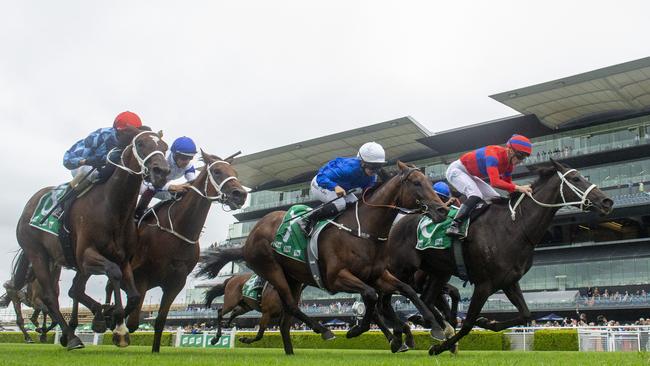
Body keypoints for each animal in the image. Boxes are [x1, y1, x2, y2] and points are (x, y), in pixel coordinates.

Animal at [14, 127, 170, 350]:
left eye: (164, 147)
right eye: (141, 144)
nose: (162, 172)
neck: (114, 207)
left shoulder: (123, 259)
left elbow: (134, 296)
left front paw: (112, 319)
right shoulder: (86, 255)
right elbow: (113, 273)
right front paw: (117, 326)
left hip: (61, 262)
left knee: (74, 291)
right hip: (37, 254)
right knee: (50, 297)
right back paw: (72, 337)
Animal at [105, 151, 247, 352]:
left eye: (235, 172)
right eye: (217, 171)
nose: (240, 194)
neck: (178, 229)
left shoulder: (176, 282)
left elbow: (159, 320)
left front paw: (155, 350)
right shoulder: (142, 275)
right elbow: (133, 321)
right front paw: (115, 324)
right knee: (109, 287)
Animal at [197, 161, 450, 354]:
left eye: (429, 181)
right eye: (416, 183)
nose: (442, 210)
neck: (363, 230)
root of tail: (249, 237)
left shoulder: (377, 274)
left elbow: (406, 291)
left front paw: (435, 327)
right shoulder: (337, 277)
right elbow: (370, 296)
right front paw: (358, 330)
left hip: (294, 278)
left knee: (287, 315)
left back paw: (292, 350)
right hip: (271, 268)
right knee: (289, 306)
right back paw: (325, 331)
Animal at [380, 160, 612, 354]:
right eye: (576, 179)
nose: (607, 201)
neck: (515, 228)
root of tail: (397, 223)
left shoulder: (509, 281)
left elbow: (525, 315)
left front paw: (485, 323)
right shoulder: (484, 284)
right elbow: (468, 323)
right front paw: (440, 347)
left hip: (438, 273)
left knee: (425, 299)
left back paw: (422, 325)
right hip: (399, 268)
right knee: (385, 299)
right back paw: (401, 335)